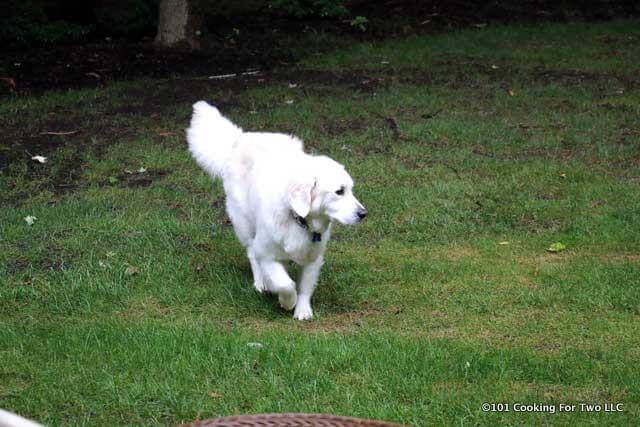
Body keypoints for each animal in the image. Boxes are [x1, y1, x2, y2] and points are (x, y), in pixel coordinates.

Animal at [186, 102, 364, 320]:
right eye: (339, 191)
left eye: (351, 189)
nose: (363, 213)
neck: (298, 219)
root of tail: (241, 137)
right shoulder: (266, 254)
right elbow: (285, 283)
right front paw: (286, 301)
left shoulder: (313, 258)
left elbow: (305, 286)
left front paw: (302, 310)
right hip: (244, 224)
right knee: (251, 252)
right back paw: (260, 283)